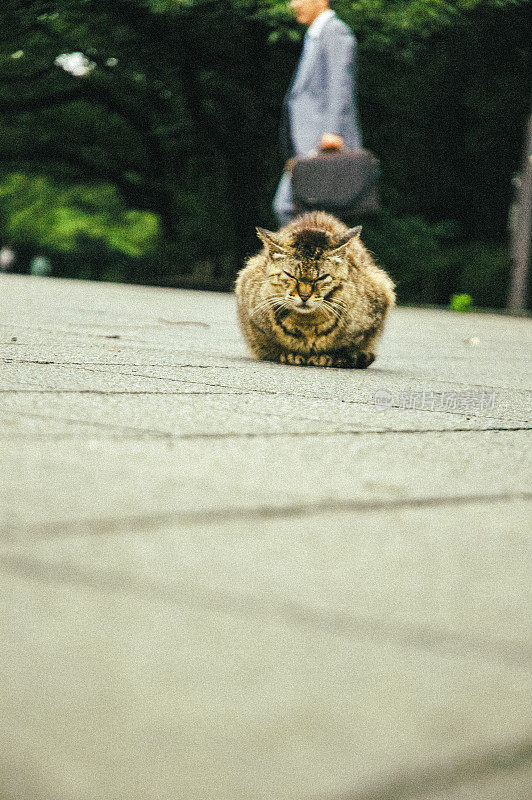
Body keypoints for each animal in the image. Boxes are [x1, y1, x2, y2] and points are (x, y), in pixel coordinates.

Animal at [236, 209, 394, 366]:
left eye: (321, 278)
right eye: (291, 275)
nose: (304, 296)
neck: (307, 323)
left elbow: (348, 347)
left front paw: (329, 356)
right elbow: (269, 345)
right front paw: (290, 354)